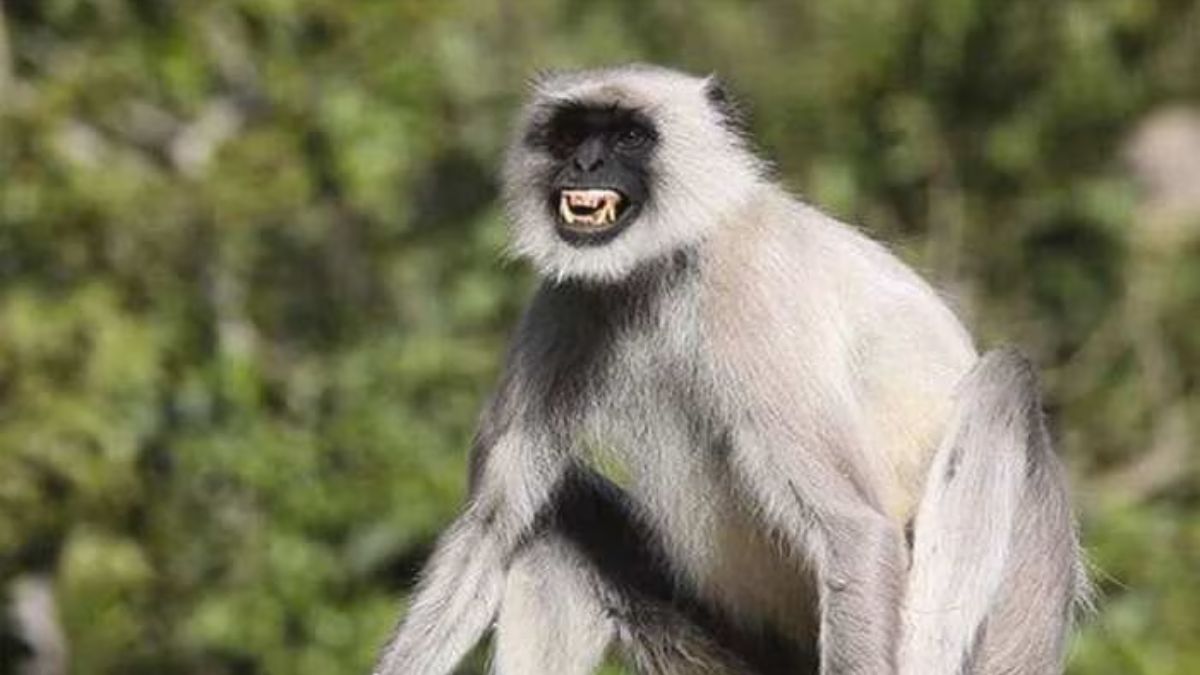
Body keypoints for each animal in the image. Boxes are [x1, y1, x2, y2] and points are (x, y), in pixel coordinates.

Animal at [373, 64, 1088, 675]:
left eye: (629, 135)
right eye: (570, 134)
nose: (584, 164)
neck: (669, 261)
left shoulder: (748, 295)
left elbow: (854, 531)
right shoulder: (569, 299)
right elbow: (491, 527)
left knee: (1005, 380)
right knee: (555, 517)